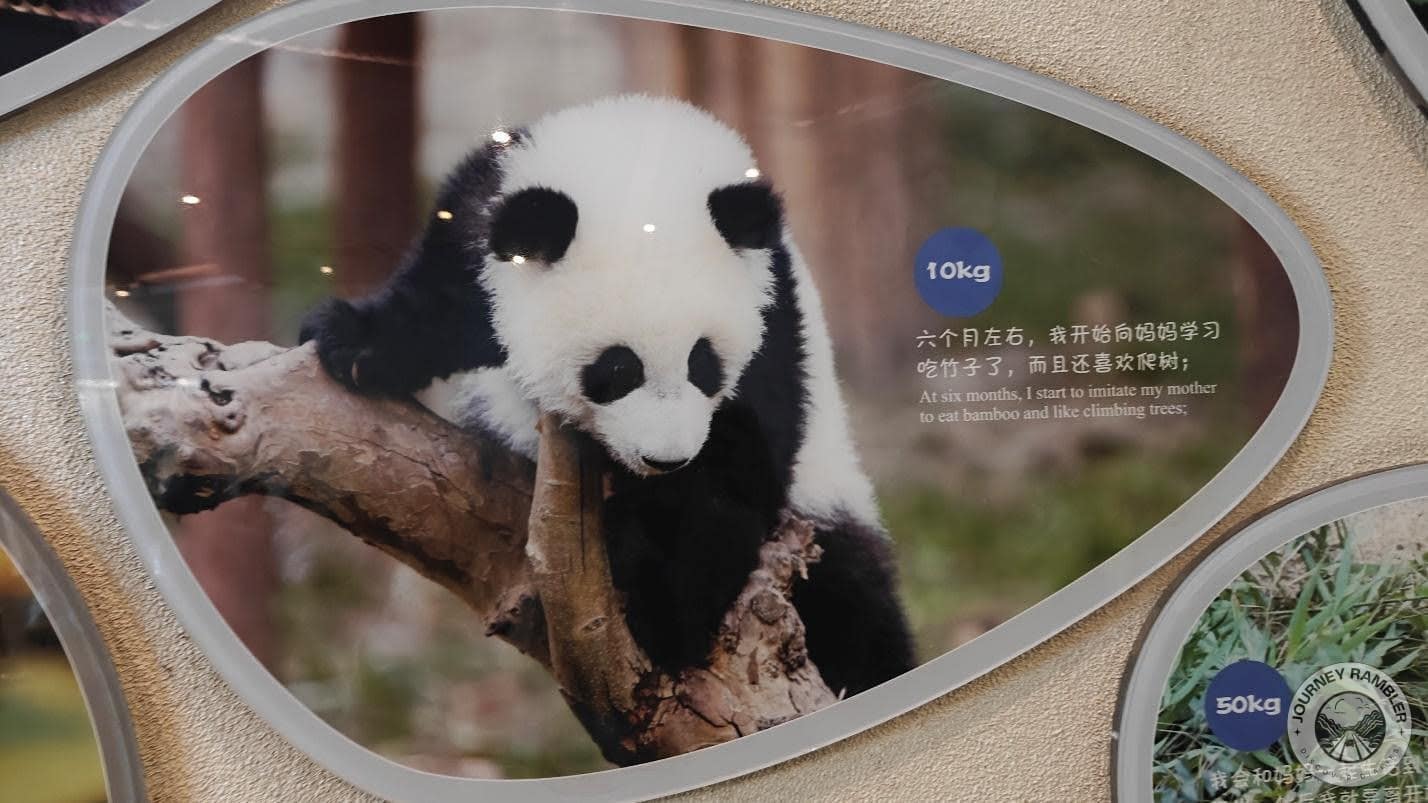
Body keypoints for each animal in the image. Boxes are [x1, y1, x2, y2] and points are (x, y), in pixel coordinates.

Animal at [300, 95, 915, 698]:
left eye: (703, 364)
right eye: (617, 370)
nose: (665, 460)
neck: (634, 163)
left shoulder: (774, 316)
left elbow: (739, 469)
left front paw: (674, 611)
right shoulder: (480, 212)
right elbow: (439, 302)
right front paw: (352, 344)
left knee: (855, 604)